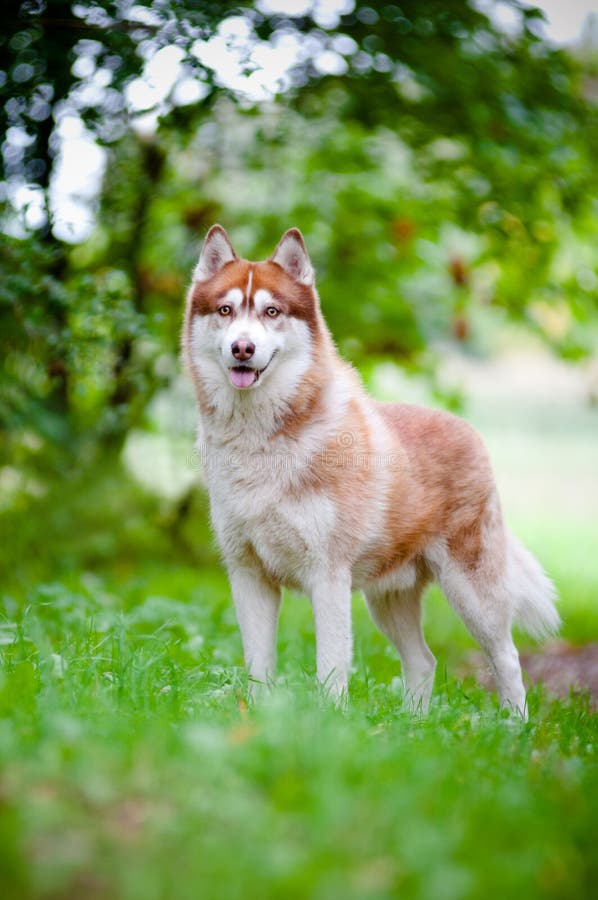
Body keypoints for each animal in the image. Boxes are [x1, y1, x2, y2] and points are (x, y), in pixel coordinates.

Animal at [184, 227, 564, 716]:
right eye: (225, 310)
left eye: (272, 311)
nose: (242, 348)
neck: (260, 442)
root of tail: (468, 428)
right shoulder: (248, 574)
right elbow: (258, 665)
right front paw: (258, 716)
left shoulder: (327, 574)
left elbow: (330, 664)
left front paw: (329, 720)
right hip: (388, 597)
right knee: (423, 660)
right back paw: (414, 724)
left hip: (473, 592)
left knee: (507, 658)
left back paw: (514, 726)